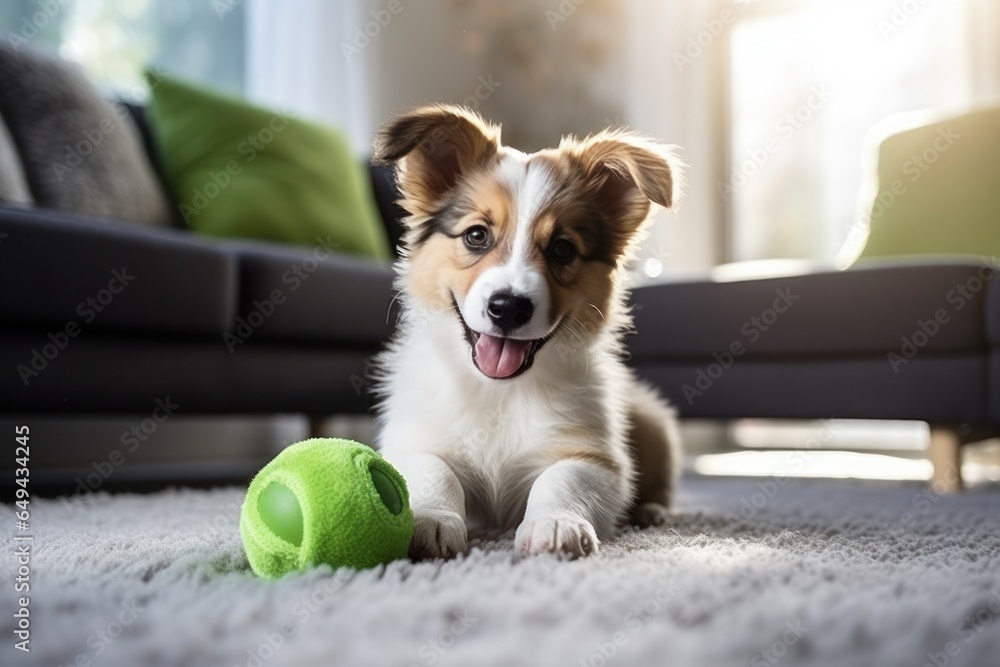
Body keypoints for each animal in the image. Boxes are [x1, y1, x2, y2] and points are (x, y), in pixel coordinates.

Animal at [374, 105, 680, 560]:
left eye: (563, 249)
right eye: (476, 235)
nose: (508, 308)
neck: (498, 392)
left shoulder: (596, 456)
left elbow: (562, 479)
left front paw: (555, 525)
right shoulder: (413, 440)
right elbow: (433, 470)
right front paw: (429, 521)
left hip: (653, 421)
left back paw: (652, 511)